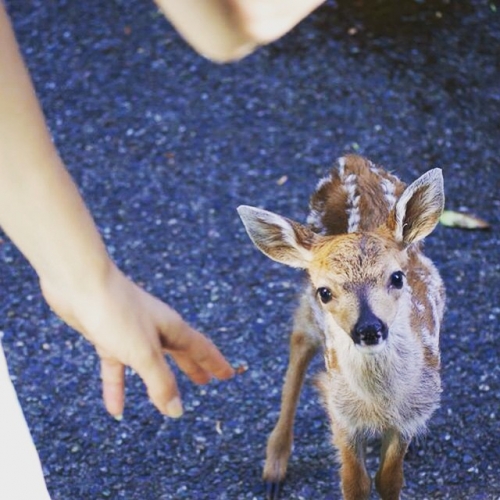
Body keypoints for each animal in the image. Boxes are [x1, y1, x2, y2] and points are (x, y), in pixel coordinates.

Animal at [238, 155, 446, 500]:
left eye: (397, 277)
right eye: (325, 291)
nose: (369, 328)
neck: (380, 403)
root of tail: (352, 160)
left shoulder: (413, 409)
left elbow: (389, 480)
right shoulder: (341, 412)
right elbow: (355, 483)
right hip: (310, 313)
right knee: (298, 344)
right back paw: (274, 469)